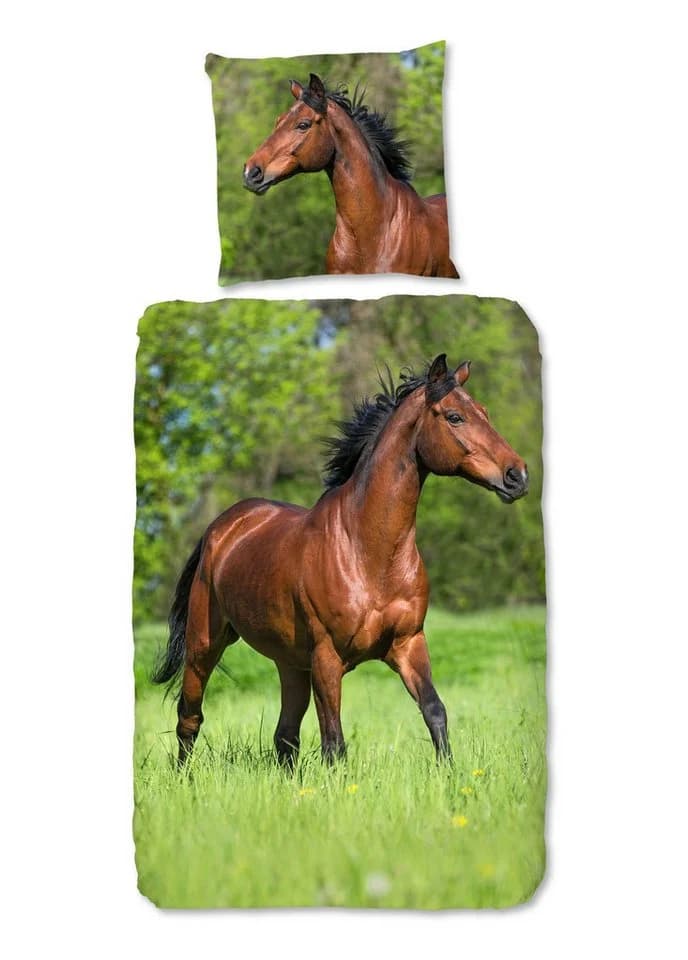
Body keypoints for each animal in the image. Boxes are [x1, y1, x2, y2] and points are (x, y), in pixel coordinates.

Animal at [152, 354, 528, 767]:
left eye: (484, 412)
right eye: (454, 417)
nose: (517, 475)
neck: (368, 554)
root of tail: (221, 528)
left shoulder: (408, 644)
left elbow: (434, 711)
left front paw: (450, 773)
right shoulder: (327, 658)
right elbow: (334, 742)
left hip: (290, 663)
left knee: (284, 736)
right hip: (205, 645)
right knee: (190, 718)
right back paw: (183, 776)